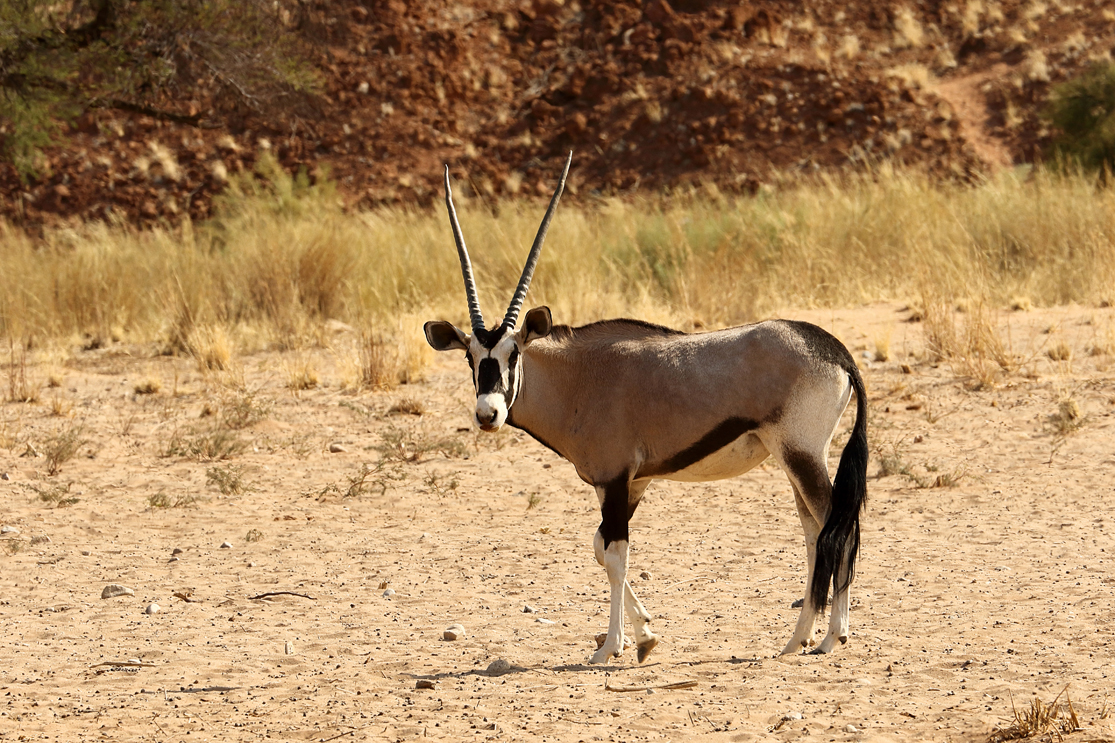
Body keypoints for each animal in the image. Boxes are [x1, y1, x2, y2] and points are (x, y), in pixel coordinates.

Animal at [421, 155, 865, 660]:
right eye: (471, 357)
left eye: (513, 353)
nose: (487, 414)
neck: (580, 377)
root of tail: (835, 350)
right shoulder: (626, 484)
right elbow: (599, 546)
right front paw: (646, 635)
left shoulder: (616, 478)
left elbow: (615, 555)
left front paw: (610, 646)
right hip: (795, 459)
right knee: (815, 532)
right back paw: (798, 637)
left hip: (801, 453)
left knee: (838, 528)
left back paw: (832, 635)